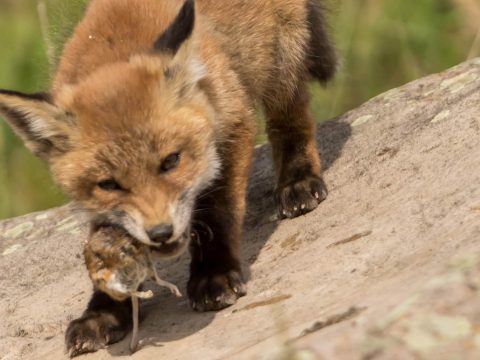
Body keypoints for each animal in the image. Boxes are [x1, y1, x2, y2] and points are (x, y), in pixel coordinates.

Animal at [0, 0, 336, 356]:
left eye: (171, 161)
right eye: (109, 185)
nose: (160, 233)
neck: (117, 48)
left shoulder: (234, 123)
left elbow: (220, 213)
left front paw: (213, 274)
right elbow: (102, 249)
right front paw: (103, 312)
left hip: (282, 56)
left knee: (291, 118)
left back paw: (297, 180)